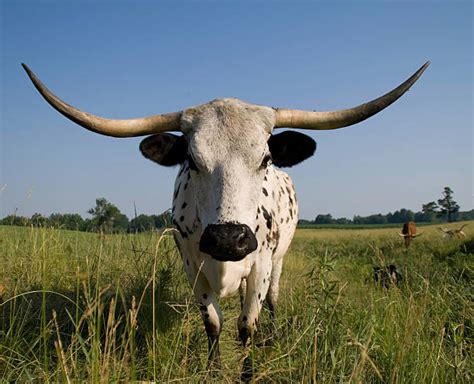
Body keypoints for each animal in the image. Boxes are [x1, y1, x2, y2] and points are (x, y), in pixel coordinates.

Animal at [22, 61, 430, 368]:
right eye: (191, 160)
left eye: (264, 158)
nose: (228, 239)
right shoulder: (192, 265)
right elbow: (213, 323)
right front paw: (214, 368)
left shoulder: (261, 263)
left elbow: (247, 324)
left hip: (278, 260)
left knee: (272, 300)